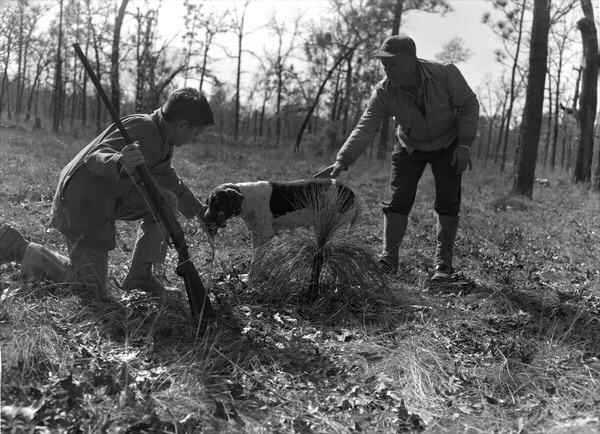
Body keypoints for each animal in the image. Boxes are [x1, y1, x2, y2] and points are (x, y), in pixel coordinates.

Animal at [202, 178, 360, 256]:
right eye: (207, 202)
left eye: (216, 202)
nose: (204, 220)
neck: (247, 199)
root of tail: (352, 193)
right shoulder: (256, 234)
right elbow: (255, 255)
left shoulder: (265, 235)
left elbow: (256, 260)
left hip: (334, 229)